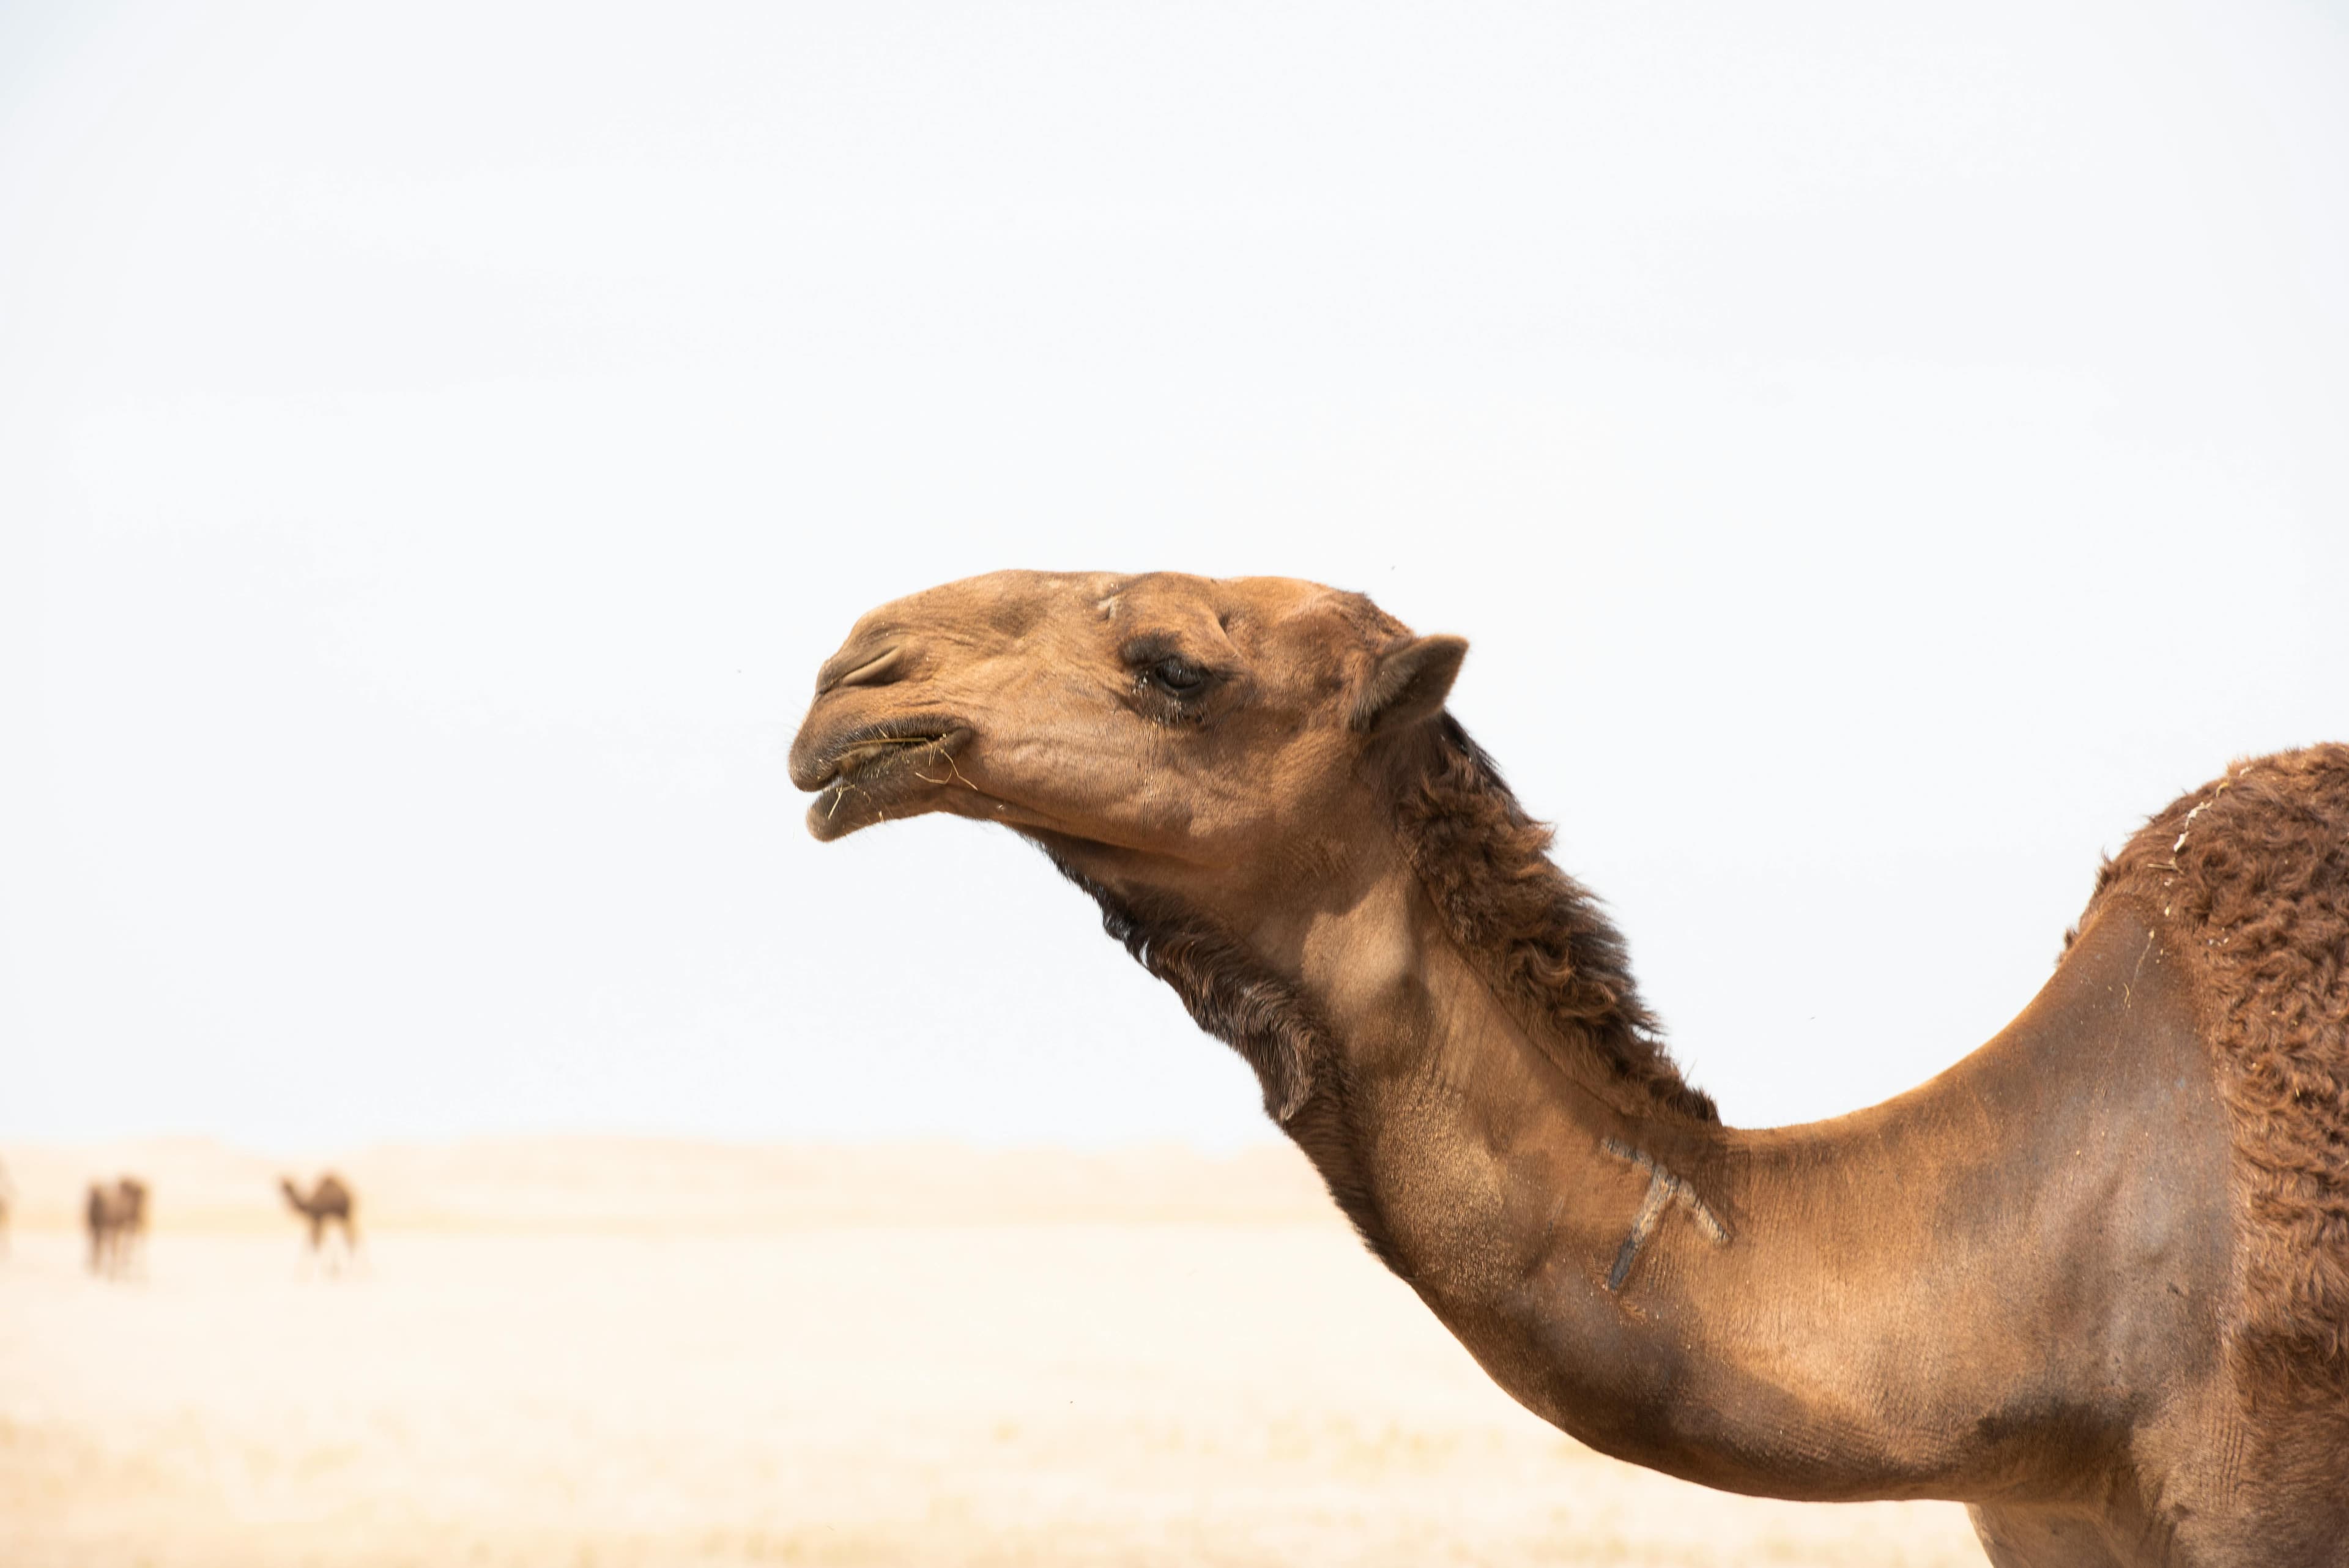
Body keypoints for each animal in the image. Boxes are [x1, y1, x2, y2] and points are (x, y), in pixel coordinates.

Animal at [281, 1174, 358, 1273]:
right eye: (282, 1186)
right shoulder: (316, 1220)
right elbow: (314, 1240)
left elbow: (316, 1242)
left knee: (351, 1236)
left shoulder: (317, 1218)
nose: (285, 1193)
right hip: (340, 1216)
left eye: (289, 1186)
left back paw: (352, 1268)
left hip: (344, 1214)